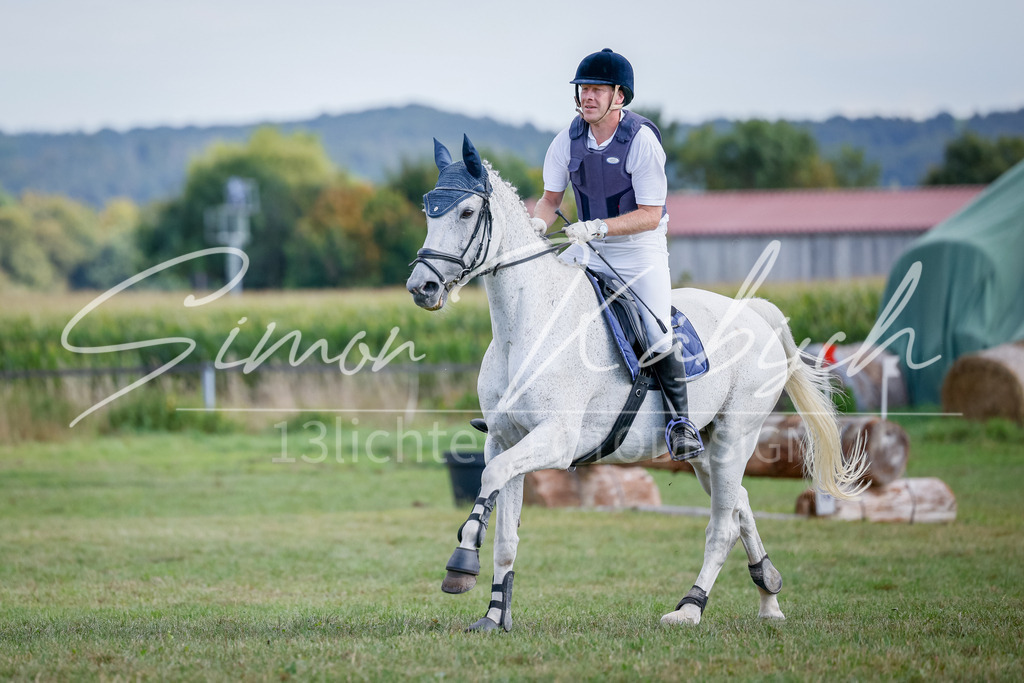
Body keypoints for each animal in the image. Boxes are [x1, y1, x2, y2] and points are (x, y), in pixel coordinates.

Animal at [406, 135, 865, 632]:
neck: (525, 325)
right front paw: (494, 615)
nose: (421, 286)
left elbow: (490, 479)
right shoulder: (505, 439)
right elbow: (505, 531)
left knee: (721, 525)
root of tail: (753, 312)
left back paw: (690, 607)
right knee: (739, 502)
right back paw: (769, 595)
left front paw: (460, 566)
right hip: (704, 446)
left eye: (467, 212)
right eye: (429, 210)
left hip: (734, 436)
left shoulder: (557, 439)